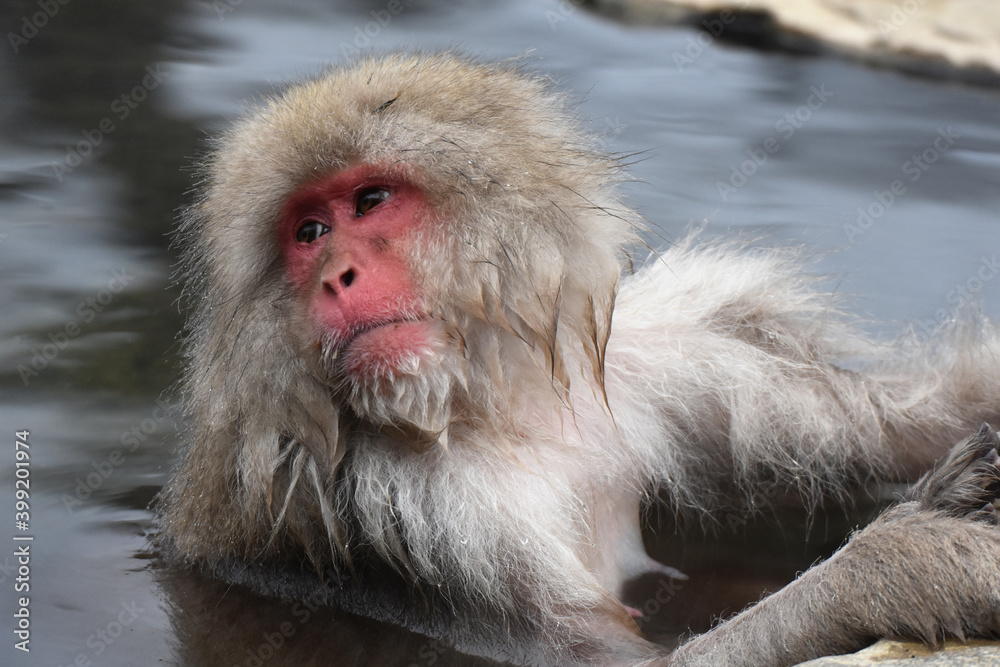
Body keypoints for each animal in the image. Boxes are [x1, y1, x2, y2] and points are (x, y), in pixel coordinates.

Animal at [157, 52, 1000, 666]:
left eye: (369, 201)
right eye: (308, 232)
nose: (336, 276)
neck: (496, 403)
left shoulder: (670, 363)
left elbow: (912, 427)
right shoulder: (409, 514)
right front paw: (896, 568)